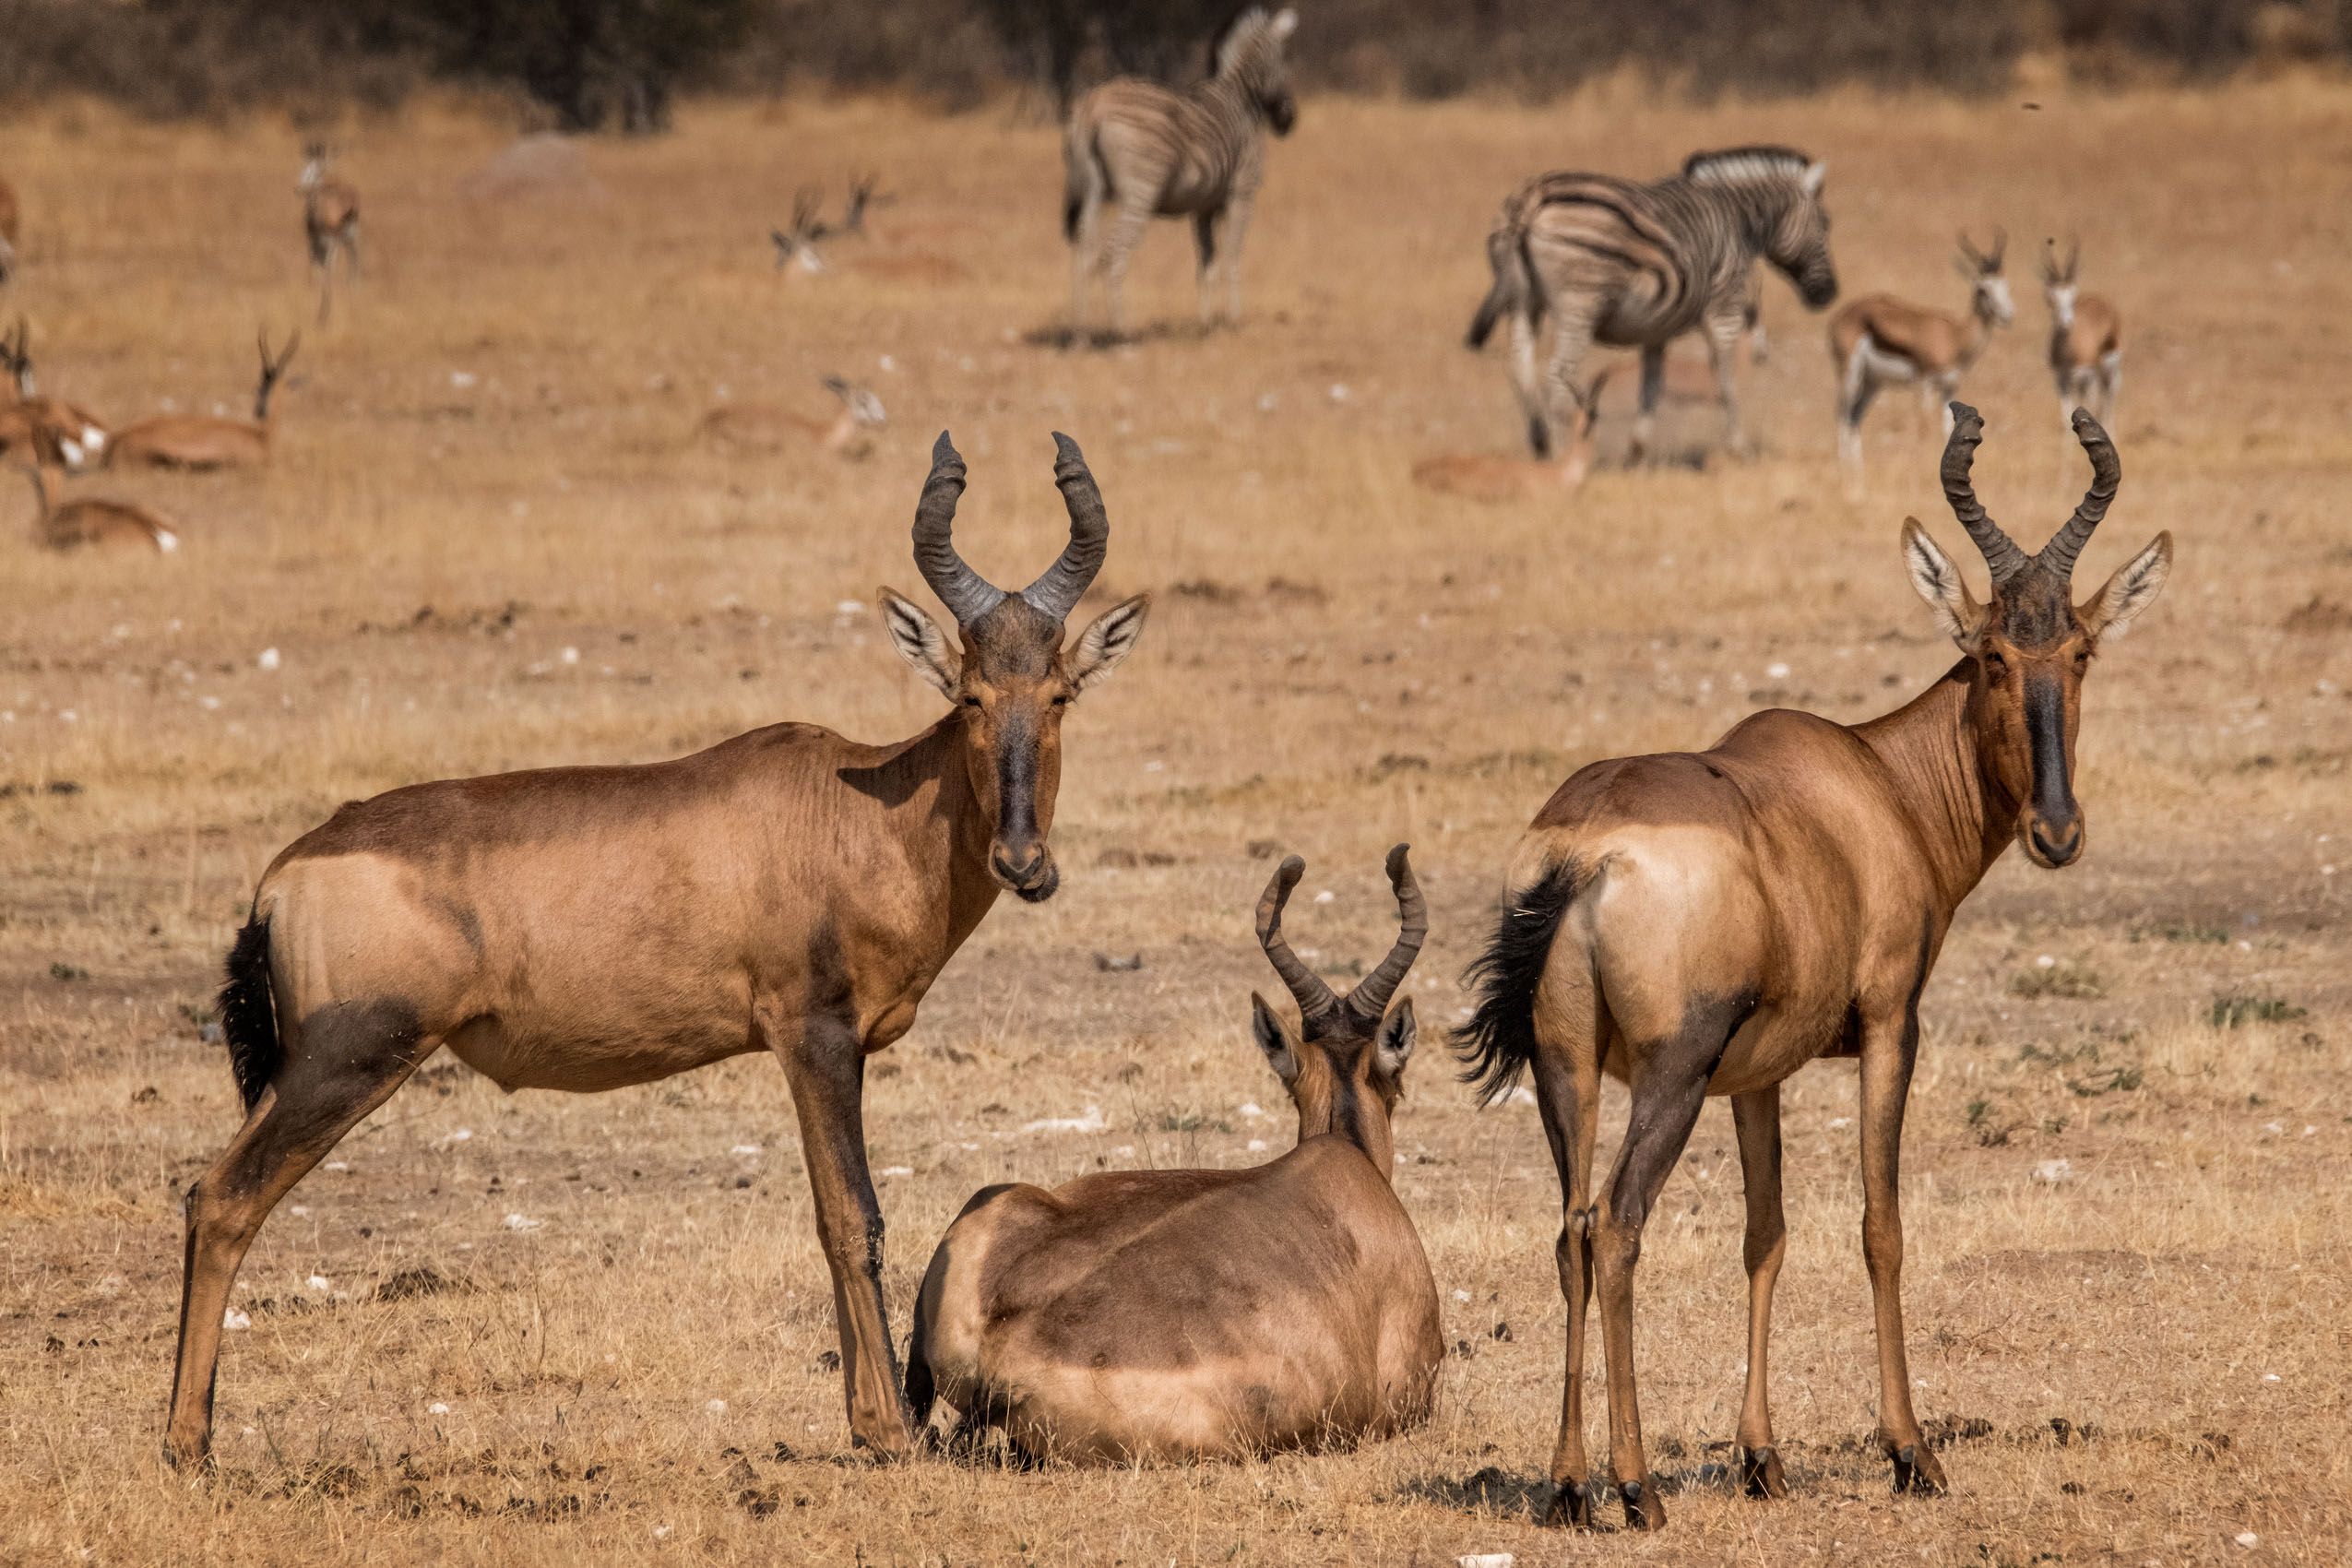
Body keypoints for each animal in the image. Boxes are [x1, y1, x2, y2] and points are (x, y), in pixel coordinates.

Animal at [1067, 8, 1307, 340]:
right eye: (1284, 58)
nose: (1289, 120)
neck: (1242, 98)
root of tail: (1094, 103)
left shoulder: (1203, 206)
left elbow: (1207, 264)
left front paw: (1207, 325)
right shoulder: (1242, 193)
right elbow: (1232, 255)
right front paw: (1234, 320)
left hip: (1094, 190)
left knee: (1084, 254)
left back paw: (1081, 336)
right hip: (1140, 192)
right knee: (1113, 253)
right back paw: (1122, 335)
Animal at [1467, 144, 1835, 463]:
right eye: (1825, 223)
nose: (1829, 293)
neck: (1738, 219)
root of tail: (1530, 200)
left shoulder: (1657, 327)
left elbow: (1652, 388)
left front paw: (1636, 451)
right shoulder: (1724, 309)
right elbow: (1725, 381)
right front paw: (1739, 448)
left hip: (1522, 302)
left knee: (1520, 369)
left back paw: (1541, 445)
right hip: (1580, 303)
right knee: (1558, 373)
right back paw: (1562, 453)